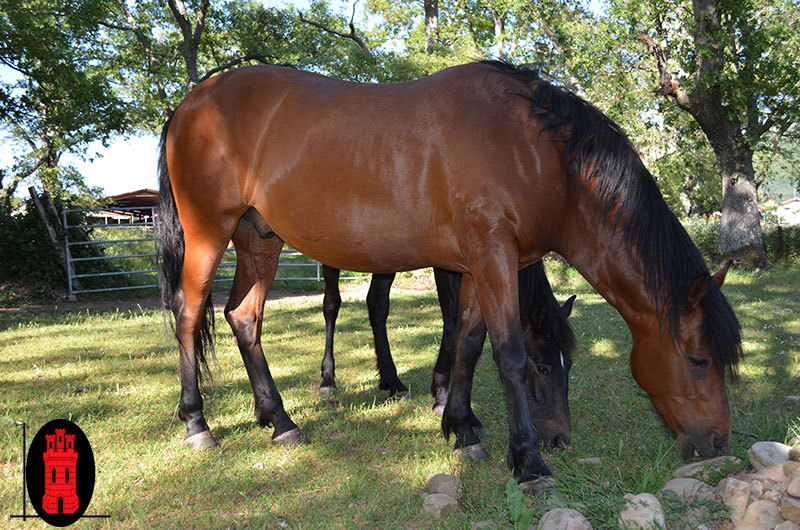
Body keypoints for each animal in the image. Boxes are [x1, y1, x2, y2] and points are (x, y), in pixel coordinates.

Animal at [318, 263, 576, 448]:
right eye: (542, 367)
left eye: (570, 365)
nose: (560, 439)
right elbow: (453, 323)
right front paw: (456, 409)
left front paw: (445, 397)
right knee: (332, 303)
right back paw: (328, 378)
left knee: (377, 304)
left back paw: (391, 381)